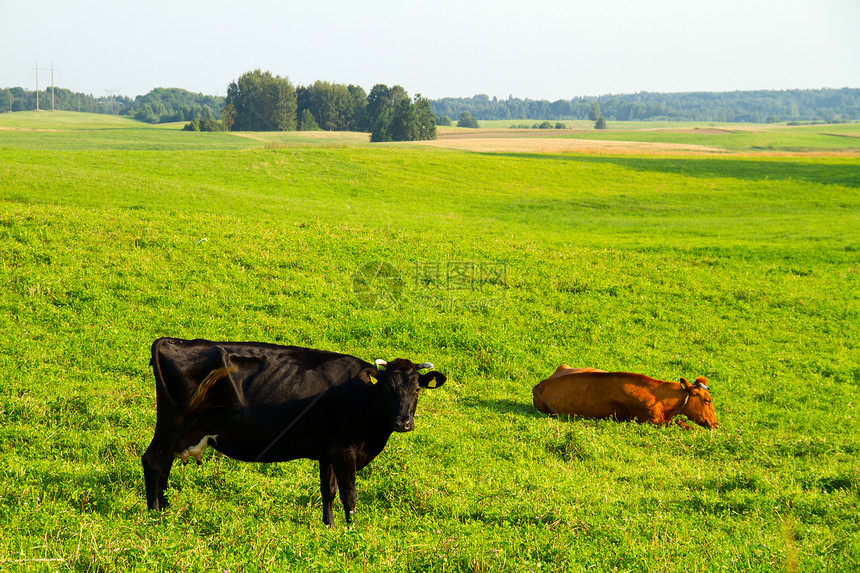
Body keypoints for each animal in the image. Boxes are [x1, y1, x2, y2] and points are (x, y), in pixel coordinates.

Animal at [141, 338, 446, 524]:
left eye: (416, 390)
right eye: (388, 389)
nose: (403, 423)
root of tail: (170, 341)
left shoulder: (329, 451)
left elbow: (328, 491)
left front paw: (329, 527)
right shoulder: (346, 451)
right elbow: (349, 494)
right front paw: (352, 531)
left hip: (180, 432)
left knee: (164, 466)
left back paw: (165, 511)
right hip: (171, 424)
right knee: (153, 461)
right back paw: (154, 516)